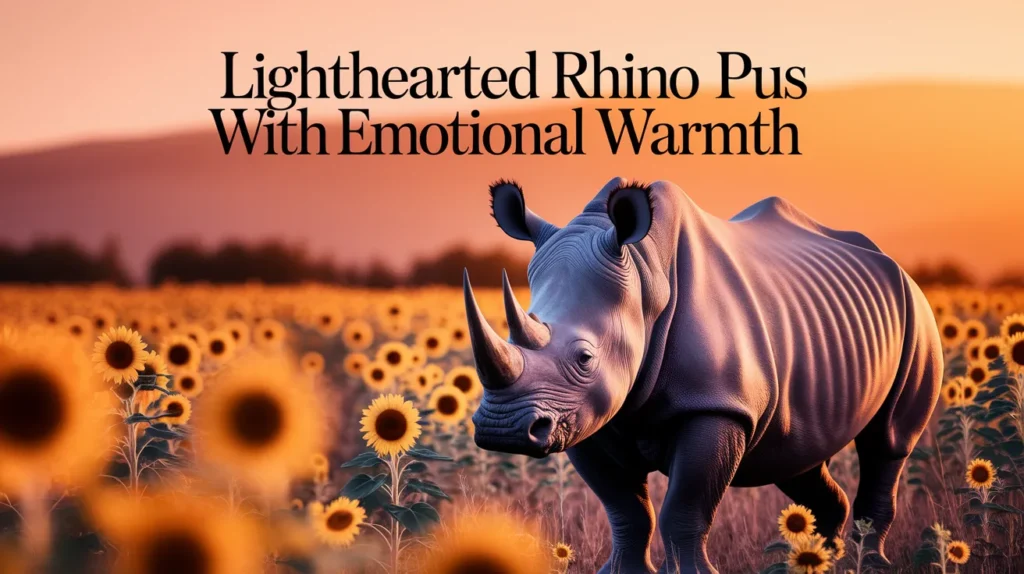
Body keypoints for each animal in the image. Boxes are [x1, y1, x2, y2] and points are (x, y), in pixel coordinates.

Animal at [463, 178, 942, 573]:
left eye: (585, 357)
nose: (502, 429)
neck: (645, 277)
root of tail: (894, 264)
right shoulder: (584, 414)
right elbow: (626, 509)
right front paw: (623, 573)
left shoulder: (716, 405)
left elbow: (684, 506)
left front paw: (693, 573)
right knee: (797, 454)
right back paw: (823, 561)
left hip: (917, 314)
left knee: (887, 443)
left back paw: (869, 564)